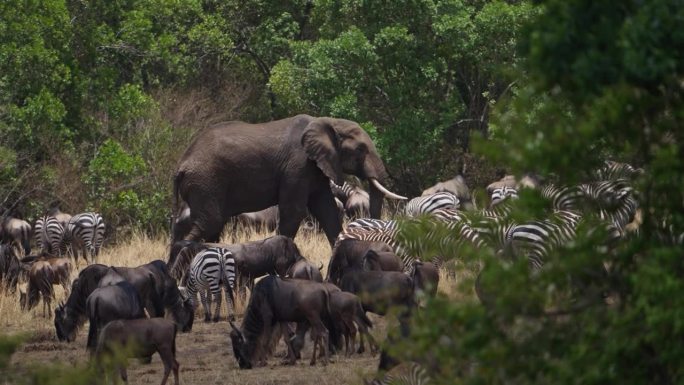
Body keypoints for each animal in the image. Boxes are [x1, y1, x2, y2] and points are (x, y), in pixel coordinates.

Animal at [172, 115, 406, 244]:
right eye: (361, 149)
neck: (327, 121)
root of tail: (181, 166)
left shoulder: (315, 168)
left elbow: (327, 210)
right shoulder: (298, 165)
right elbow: (294, 211)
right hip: (205, 181)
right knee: (209, 223)